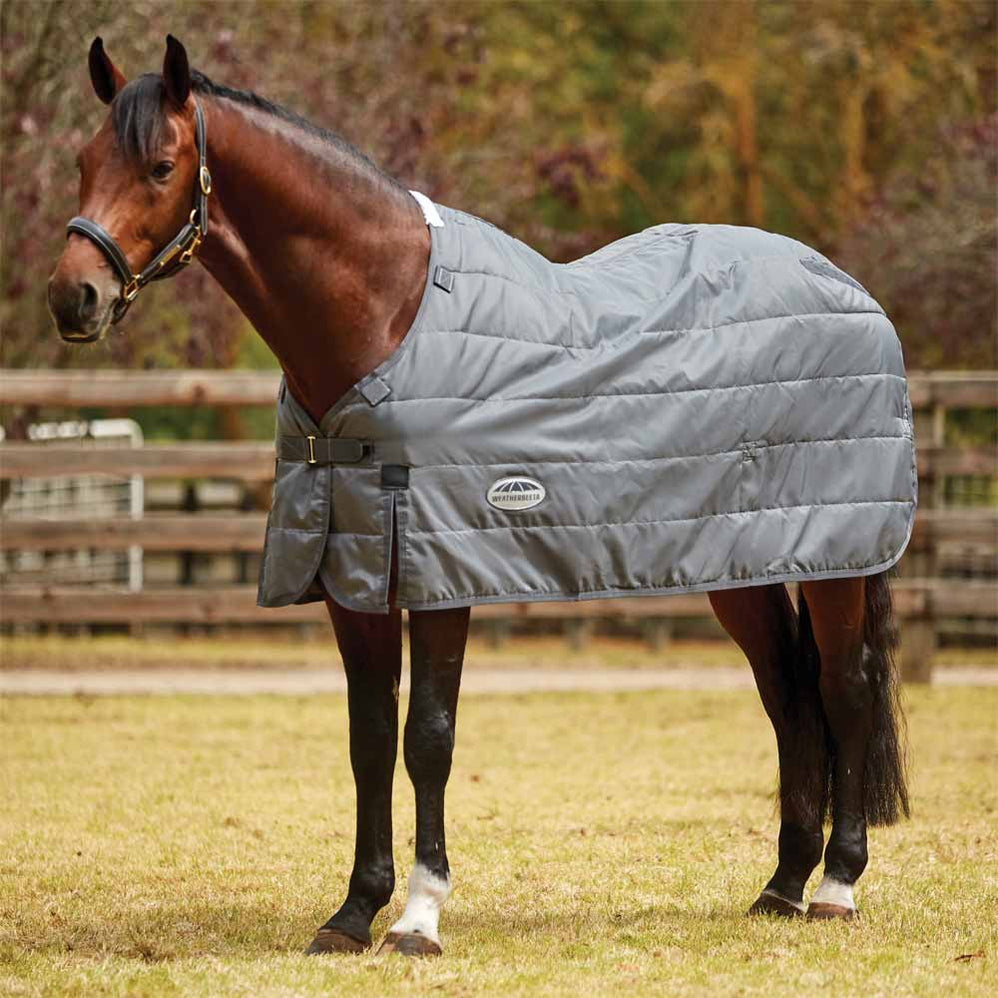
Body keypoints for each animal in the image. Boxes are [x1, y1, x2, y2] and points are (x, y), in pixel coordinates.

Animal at [48, 36, 909, 957]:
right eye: (83, 162)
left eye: (161, 166)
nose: (73, 297)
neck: (385, 318)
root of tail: (849, 288)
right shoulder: (355, 574)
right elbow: (367, 736)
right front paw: (352, 913)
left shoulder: (440, 570)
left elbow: (428, 737)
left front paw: (419, 916)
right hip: (743, 563)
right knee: (787, 696)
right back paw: (782, 884)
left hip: (840, 560)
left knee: (845, 689)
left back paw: (837, 885)